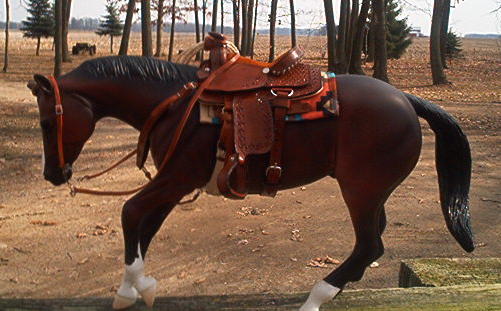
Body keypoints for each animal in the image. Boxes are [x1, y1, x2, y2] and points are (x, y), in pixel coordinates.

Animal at [28, 56, 472, 311]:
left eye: (47, 123)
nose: (54, 174)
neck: (174, 105)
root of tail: (406, 99)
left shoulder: (175, 178)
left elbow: (129, 212)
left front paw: (134, 288)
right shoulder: (173, 184)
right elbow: (145, 226)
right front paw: (134, 289)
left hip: (360, 189)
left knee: (369, 244)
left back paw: (317, 297)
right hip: (372, 193)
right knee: (372, 241)